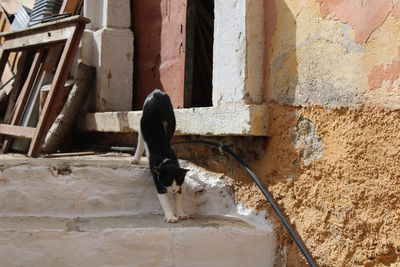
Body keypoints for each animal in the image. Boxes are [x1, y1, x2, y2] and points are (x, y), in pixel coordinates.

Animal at [130, 89, 188, 223]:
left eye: (178, 180)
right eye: (167, 181)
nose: (172, 189)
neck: (165, 157)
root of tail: (157, 91)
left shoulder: (179, 184)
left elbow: (179, 198)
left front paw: (181, 213)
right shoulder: (157, 179)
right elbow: (165, 200)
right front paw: (171, 216)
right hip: (141, 121)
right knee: (140, 139)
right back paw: (136, 159)